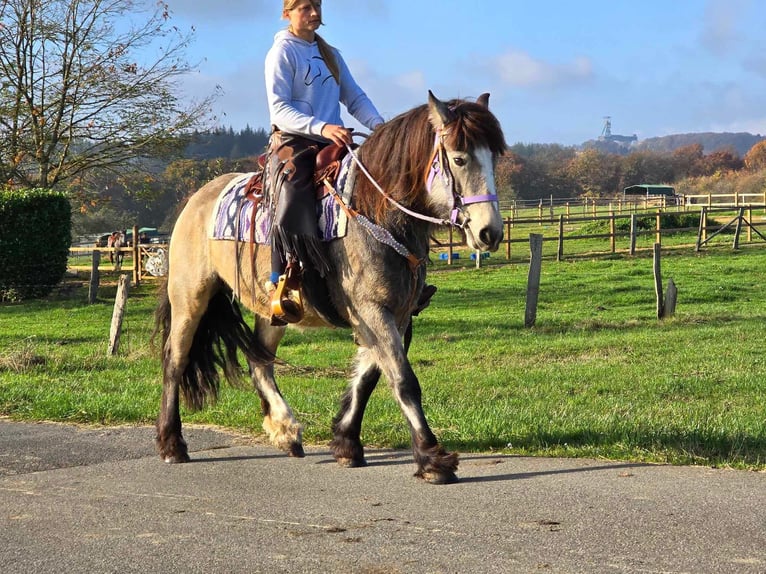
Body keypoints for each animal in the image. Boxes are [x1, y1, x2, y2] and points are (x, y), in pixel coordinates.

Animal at [153, 91, 508, 486]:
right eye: (459, 158)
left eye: (493, 157)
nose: (489, 233)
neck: (376, 212)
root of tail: (197, 200)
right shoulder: (372, 311)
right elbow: (403, 380)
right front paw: (432, 458)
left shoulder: (395, 314)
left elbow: (368, 376)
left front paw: (346, 443)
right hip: (190, 297)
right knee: (175, 360)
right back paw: (172, 443)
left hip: (274, 310)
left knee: (260, 362)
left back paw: (285, 430)